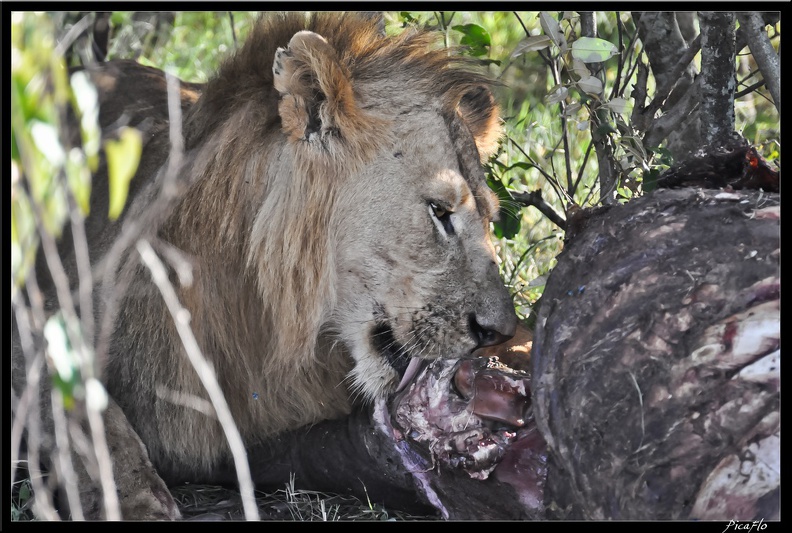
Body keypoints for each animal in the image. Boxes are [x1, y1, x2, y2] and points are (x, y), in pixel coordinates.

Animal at [13, 13, 520, 520]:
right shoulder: (40, 316)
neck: (264, 313)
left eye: (490, 220)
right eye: (439, 211)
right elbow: (87, 417)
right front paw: (140, 501)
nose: (500, 332)